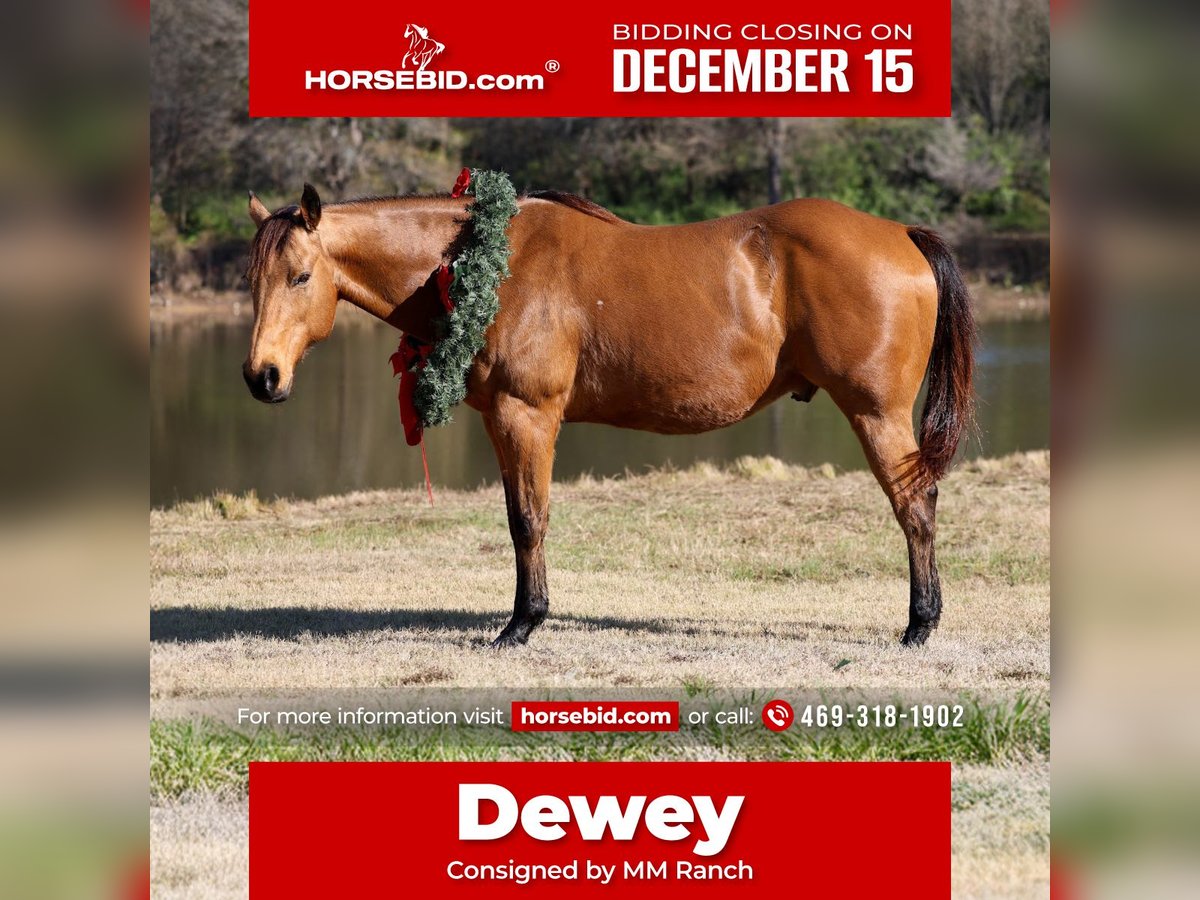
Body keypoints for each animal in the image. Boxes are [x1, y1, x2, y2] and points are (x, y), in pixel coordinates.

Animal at [243, 183, 975, 649]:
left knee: (915, 505)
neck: (489, 263)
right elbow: (518, 516)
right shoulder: (501, 422)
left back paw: (920, 623)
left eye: (300, 276)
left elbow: (528, 520)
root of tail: (901, 234)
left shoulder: (526, 416)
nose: (261, 376)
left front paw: (523, 623)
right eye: (253, 279)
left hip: (876, 413)